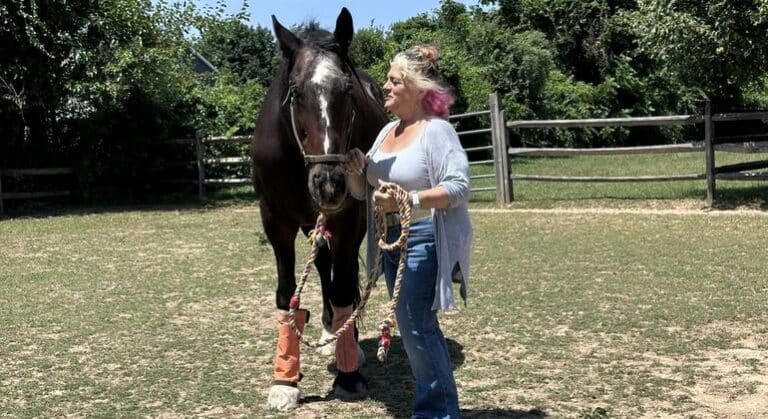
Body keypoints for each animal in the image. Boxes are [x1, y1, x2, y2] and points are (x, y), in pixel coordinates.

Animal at [250, 8, 388, 410]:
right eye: (296, 92)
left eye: (348, 90)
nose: (329, 183)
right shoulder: (275, 221)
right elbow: (286, 294)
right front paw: (284, 381)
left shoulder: (347, 220)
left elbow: (343, 290)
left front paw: (348, 376)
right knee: (324, 266)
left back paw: (345, 340)